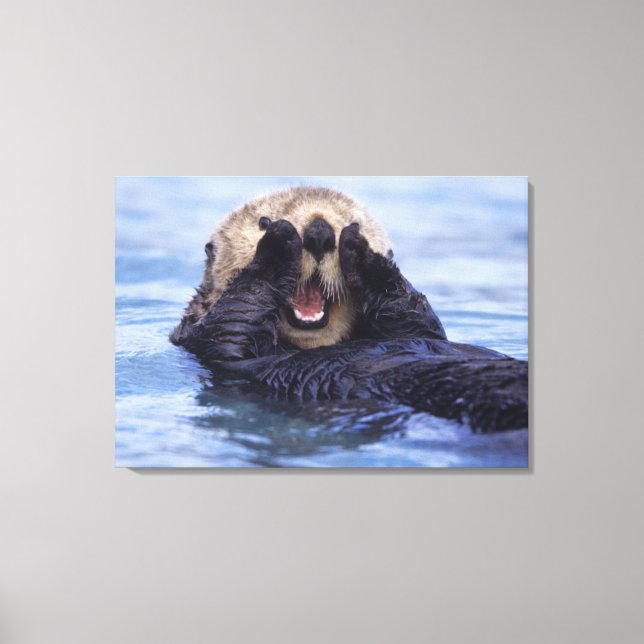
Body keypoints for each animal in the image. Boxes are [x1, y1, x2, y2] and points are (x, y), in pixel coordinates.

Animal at [171, 187, 528, 433]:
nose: (319, 232)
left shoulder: (419, 329)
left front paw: (363, 253)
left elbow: (417, 318)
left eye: (352, 221)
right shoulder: (204, 339)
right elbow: (234, 319)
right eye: (263, 220)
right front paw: (277, 244)